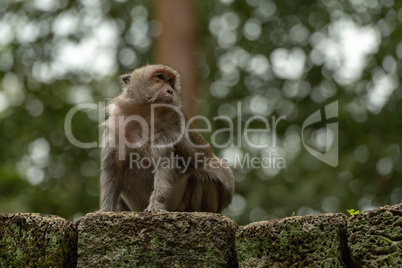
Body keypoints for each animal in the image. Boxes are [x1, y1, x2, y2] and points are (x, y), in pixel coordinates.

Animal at [98, 63, 234, 213]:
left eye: (170, 81)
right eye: (160, 77)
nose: (170, 90)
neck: (145, 114)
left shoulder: (168, 133)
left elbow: (165, 167)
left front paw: (156, 205)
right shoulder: (114, 129)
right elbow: (112, 172)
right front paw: (105, 210)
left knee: (204, 176)